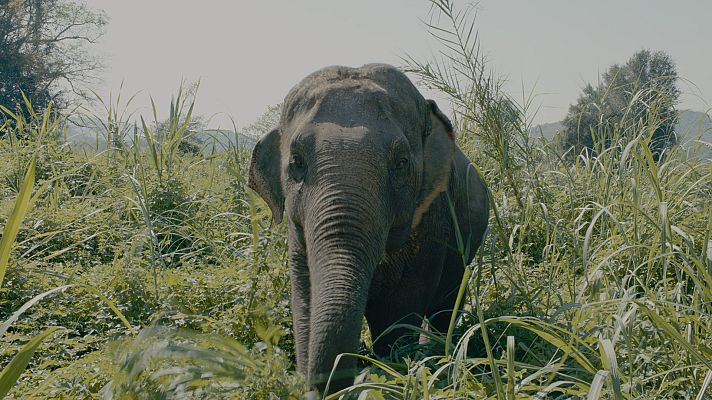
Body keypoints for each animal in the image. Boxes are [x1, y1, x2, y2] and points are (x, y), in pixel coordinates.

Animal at [248, 63, 489, 393]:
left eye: (401, 163)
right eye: (296, 162)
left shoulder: (432, 218)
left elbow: (400, 306)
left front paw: (389, 374)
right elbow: (305, 296)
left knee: (447, 302)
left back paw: (437, 352)